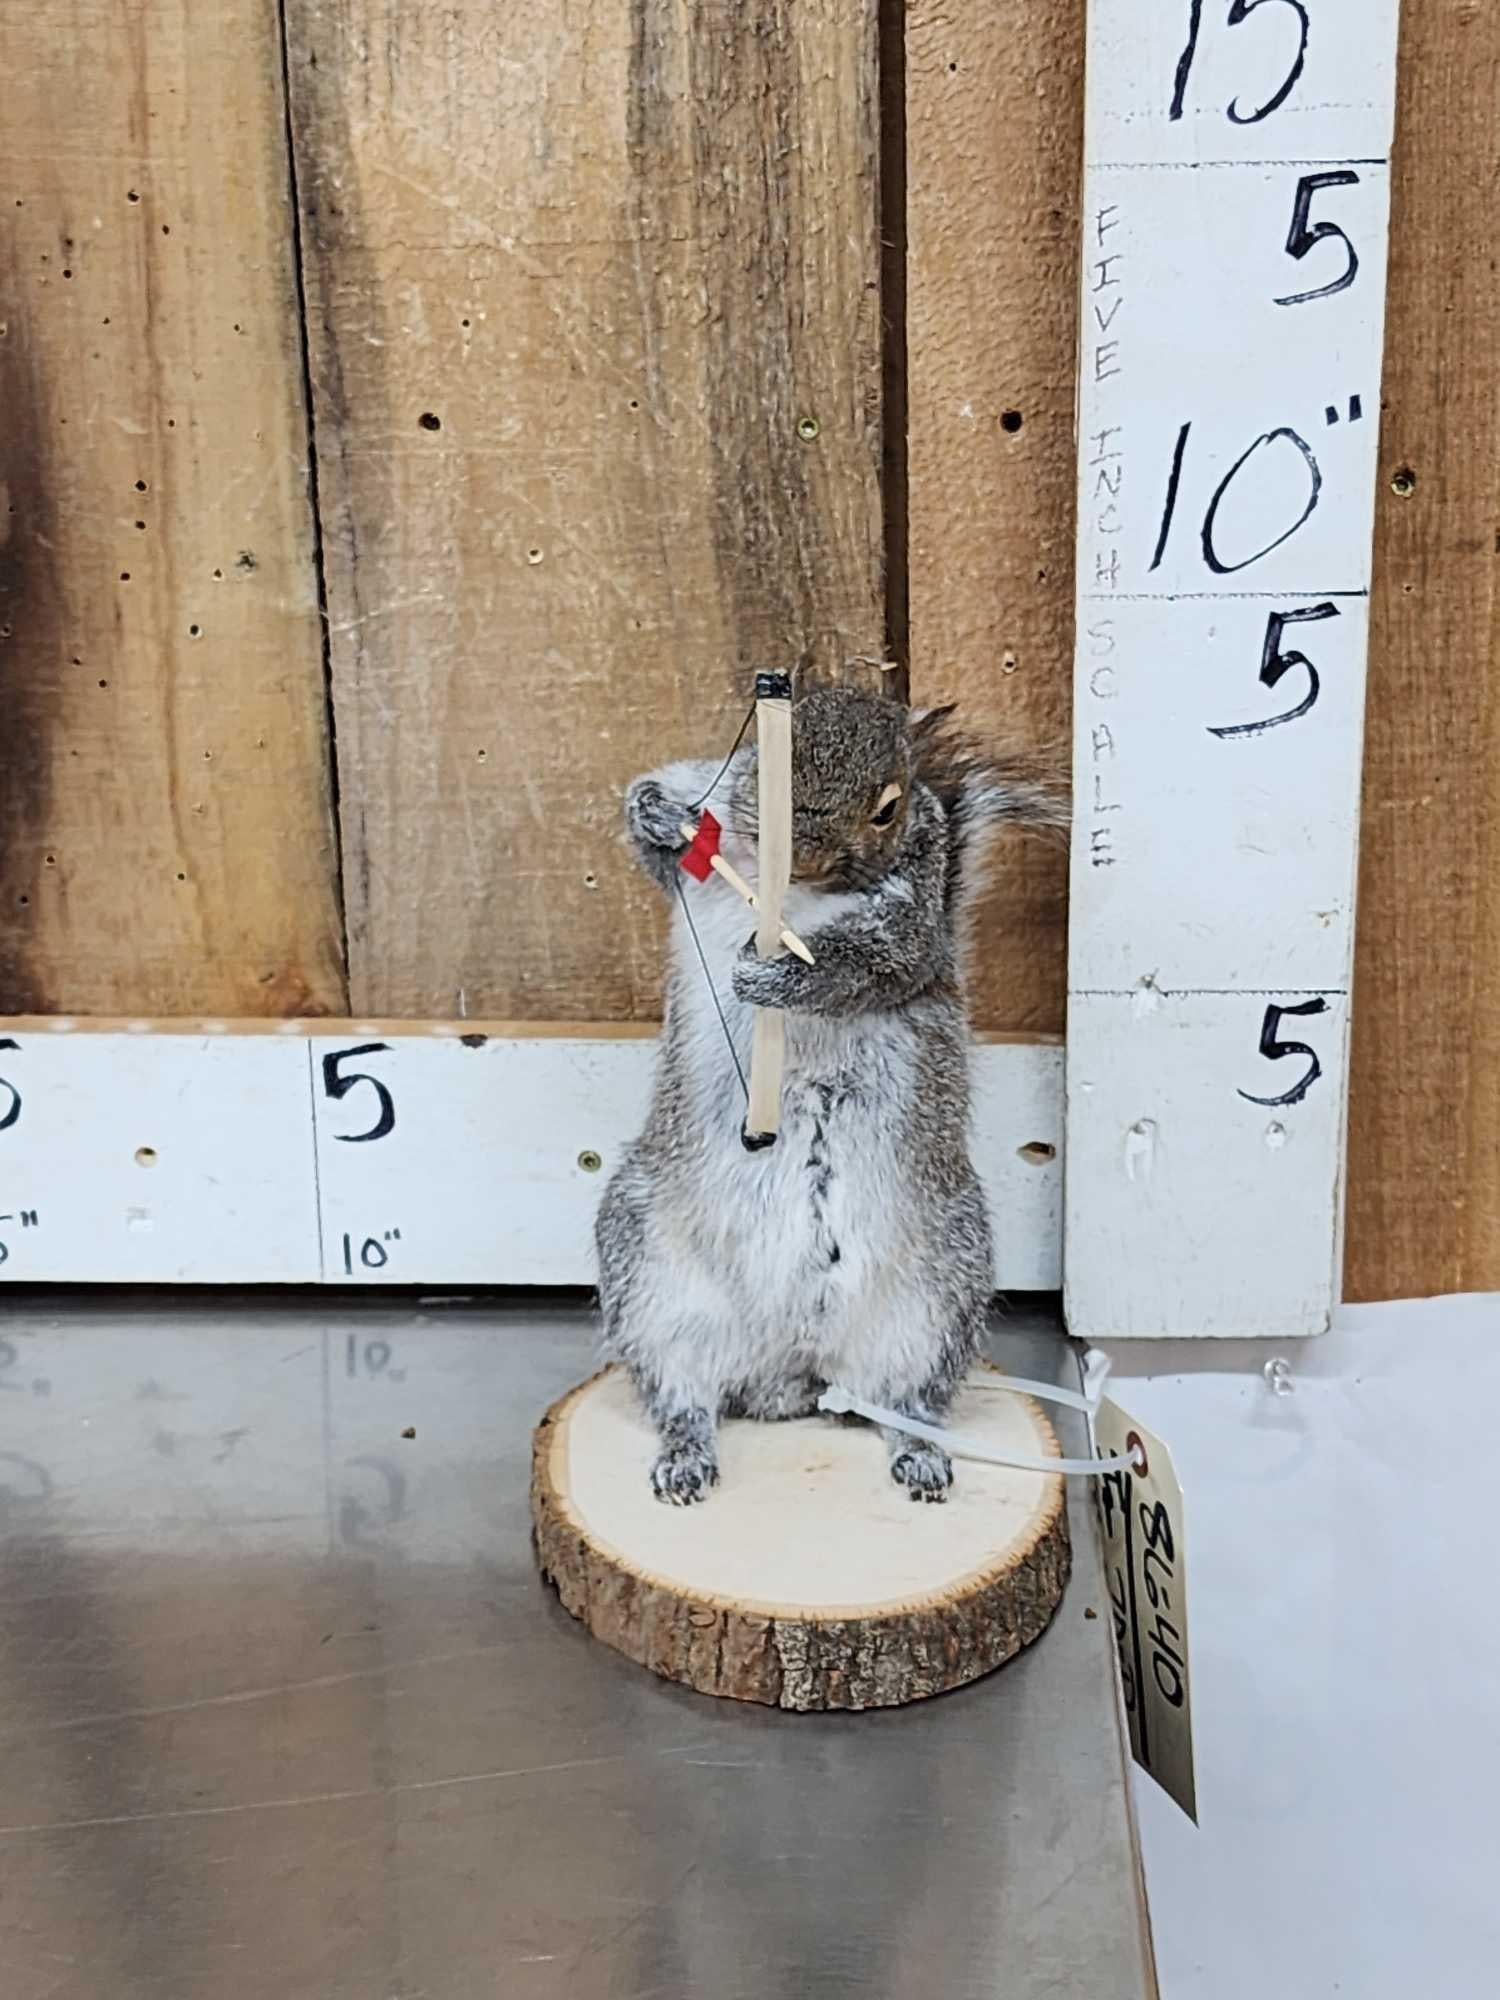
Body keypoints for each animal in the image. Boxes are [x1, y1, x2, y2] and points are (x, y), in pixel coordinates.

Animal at [596, 682, 1067, 1506]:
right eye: (761, 765)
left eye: (890, 807)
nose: (810, 851)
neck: (802, 893)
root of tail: (792, 1370)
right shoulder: (697, 848)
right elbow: (663, 848)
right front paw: (656, 813)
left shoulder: (911, 921)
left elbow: (869, 964)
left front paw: (777, 974)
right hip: (651, 1278)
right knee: (683, 1394)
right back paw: (685, 1456)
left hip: (937, 1295)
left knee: (905, 1402)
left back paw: (920, 1455)